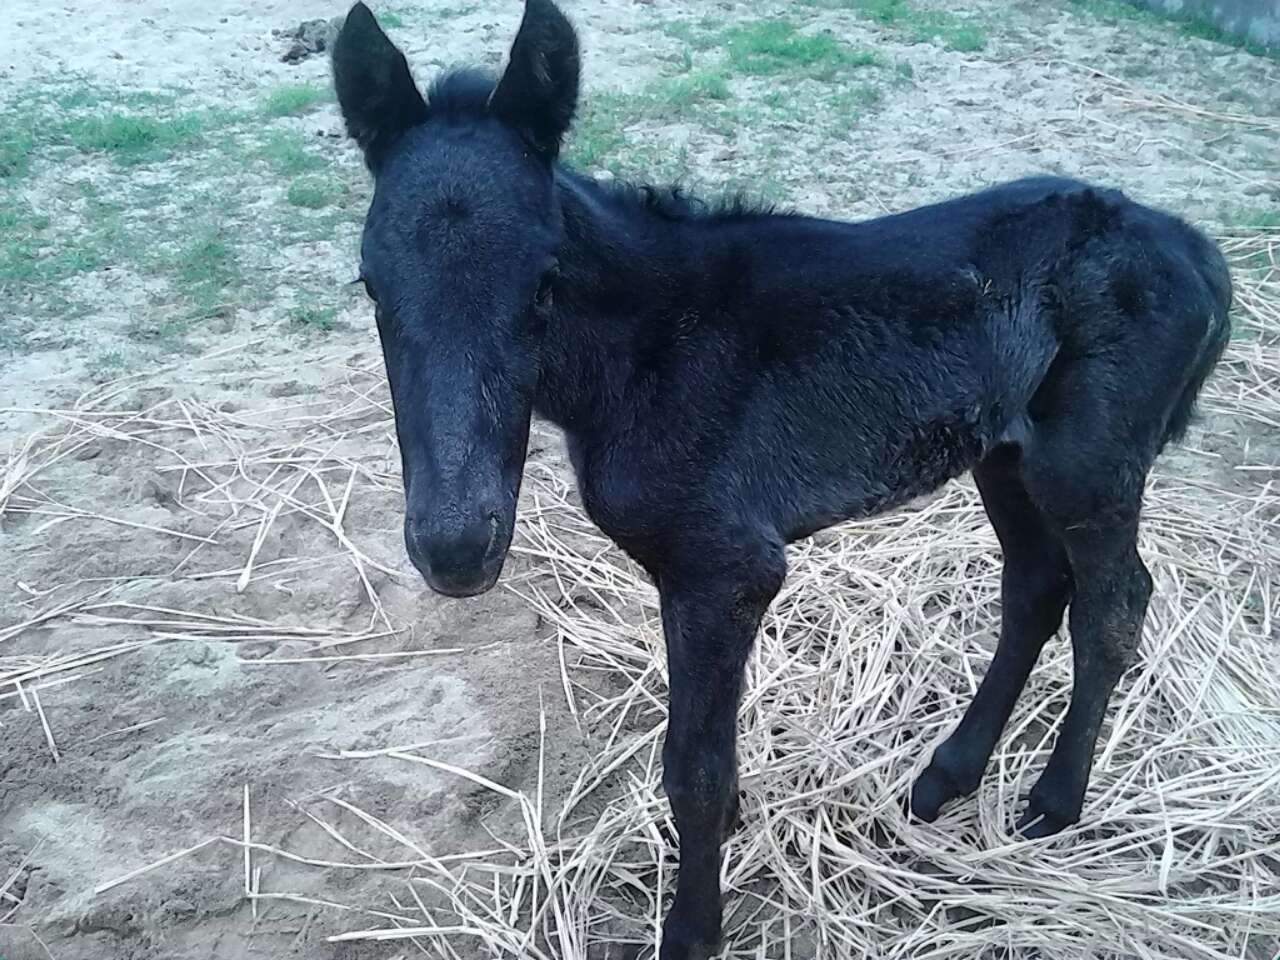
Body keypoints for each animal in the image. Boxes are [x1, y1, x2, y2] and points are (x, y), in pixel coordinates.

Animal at [330, 3, 1228, 957]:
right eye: (371, 285)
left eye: (544, 282)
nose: (456, 548)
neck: (646, 349)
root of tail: (1193, 247)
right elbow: (703, 754)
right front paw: (728, 833)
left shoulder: (724, 566)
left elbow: (692, 765)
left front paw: (693, 928)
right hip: (1004, 452)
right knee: (1034, 587)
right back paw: (947, 774)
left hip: (1088, 462)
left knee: (1113, 603)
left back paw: (1054, 801)